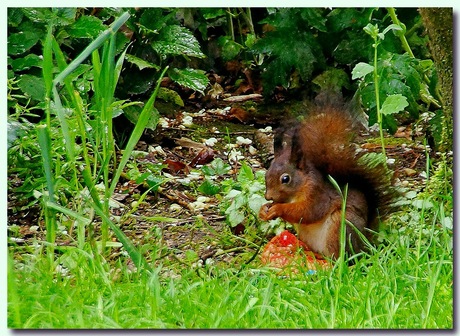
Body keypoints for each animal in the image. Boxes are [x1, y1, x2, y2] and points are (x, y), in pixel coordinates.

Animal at [260, 102, 398, 258]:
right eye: (266, 174)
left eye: (285, 178)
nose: (268, 196)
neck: (300, 187)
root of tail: (364, 244)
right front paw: (263, 210)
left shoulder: (318, 195)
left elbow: (307, 212)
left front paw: (277, 209)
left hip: (341, 226)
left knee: (338, 256)